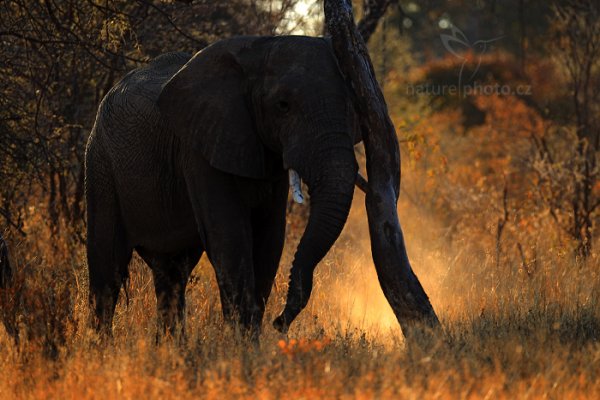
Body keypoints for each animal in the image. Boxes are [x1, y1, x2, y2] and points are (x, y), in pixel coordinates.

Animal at [85, 36, 364, 338]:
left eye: (351, 104)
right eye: (283, 105)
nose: (280, 323)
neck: (257, 49)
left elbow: (270, 238)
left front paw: (249, 340)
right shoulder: (199, 147)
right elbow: (229, 237)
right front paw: (241, 344)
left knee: (171, 273)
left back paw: (170, 347)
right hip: (100, 165)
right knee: (108, 269)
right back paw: (102, 345)